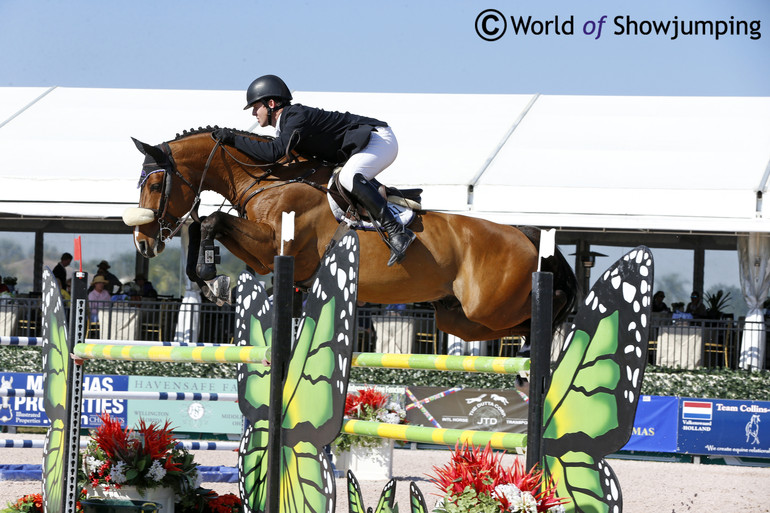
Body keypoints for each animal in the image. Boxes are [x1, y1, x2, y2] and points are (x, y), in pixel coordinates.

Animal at [124, 128, 576, 342]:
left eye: (155, 183)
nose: (144, 243)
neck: (269, 179)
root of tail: (524, 234)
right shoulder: (266, 256)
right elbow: (202, 224)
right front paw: (210, 281)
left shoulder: (274, 247)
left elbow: (211, 222)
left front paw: (213, 278)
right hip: (459, 317)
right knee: (509, 327)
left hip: (488, 305)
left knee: (545, 304)